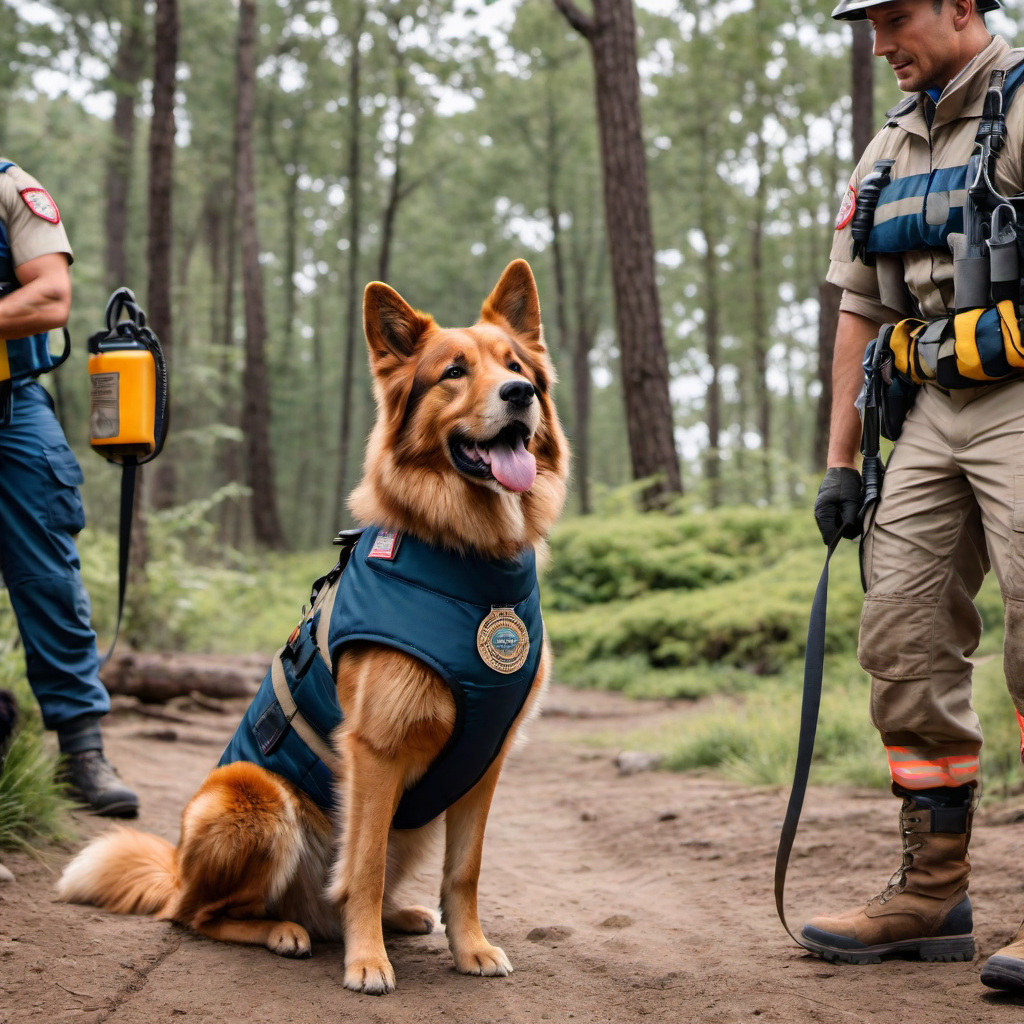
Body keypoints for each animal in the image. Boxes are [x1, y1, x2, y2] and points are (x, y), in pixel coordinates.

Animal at [58, 260, 569, 995]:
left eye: (515, 365)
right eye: (453, 372)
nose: (520, 393)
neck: (471, 566)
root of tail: (178, 868)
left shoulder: (485, 760)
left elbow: (464, 871)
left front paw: (470, 947)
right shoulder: (375, 752)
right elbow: (362, 866)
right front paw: (367, 962)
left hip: (408, 818)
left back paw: (395, 918)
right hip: (252, 796)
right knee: (196, 914)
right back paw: (285, 930)